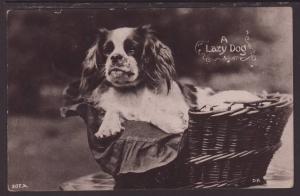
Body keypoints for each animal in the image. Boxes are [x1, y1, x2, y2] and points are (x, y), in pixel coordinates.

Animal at [79, 24, 260, 138]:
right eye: (107, 51)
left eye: (132, 49)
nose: (115, 57)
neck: (132, 90)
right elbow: (114, 109)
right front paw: (107, 126)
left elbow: (155, 114)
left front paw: (175, 124)